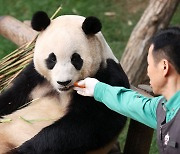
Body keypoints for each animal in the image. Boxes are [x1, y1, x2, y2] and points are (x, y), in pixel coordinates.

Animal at [0, 11, 130, 153]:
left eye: (75, 59)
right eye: (52, 59)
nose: (63, 82)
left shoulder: (108, 78)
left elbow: (86, 125)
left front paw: (22, 150)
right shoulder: (35, 77)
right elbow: (13, 96)